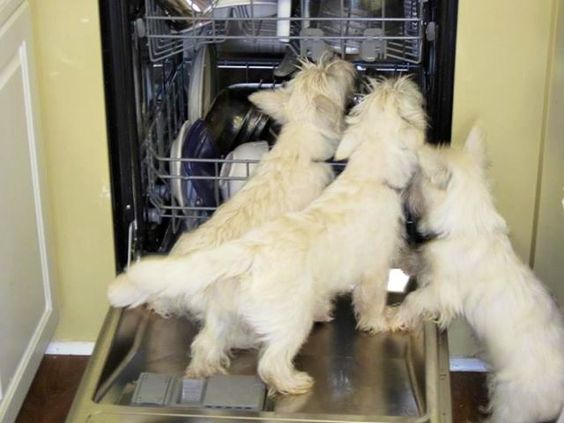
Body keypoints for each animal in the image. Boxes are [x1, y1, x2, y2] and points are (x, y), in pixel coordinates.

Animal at [388, 126, 564, 423]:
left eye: (416, 177)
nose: (402, 192)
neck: (467, 226)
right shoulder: (432, 265)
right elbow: (418, 259)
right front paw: (397, 257)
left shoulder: (442, 292)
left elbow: (414, 299)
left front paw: (395, 316)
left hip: (513, 402)